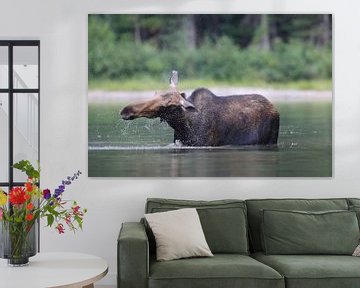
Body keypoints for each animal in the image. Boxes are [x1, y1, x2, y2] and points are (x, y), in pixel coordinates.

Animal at [119, 73, 280, 146]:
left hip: (271, 139)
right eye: (156, 93)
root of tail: (274, 108)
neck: (183, 126)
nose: (126, 110)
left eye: (165, 106)